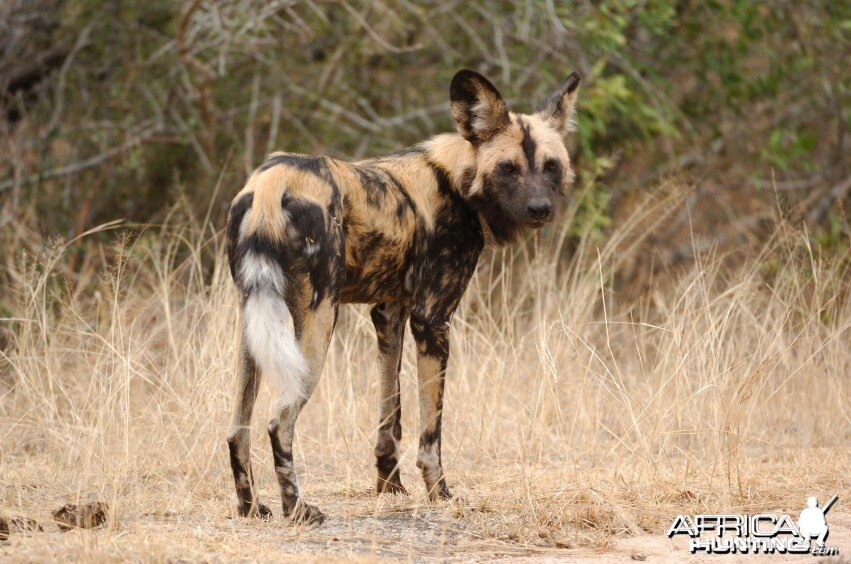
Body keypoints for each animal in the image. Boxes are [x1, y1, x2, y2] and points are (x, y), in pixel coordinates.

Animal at [226, 70, 580, 524]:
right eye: (508, 168)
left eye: (551, 166)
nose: (540, 208)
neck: (458, 180)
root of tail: (272, 181)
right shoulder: (432, 320)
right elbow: (431, 429)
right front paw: (439, 493)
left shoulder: (389, 313)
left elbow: (388, 417)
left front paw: (389, 486)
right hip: (318, 324)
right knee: (278, 420)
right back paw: (299, 508)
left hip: (253, 325)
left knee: (237, 428)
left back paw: (252, 506)